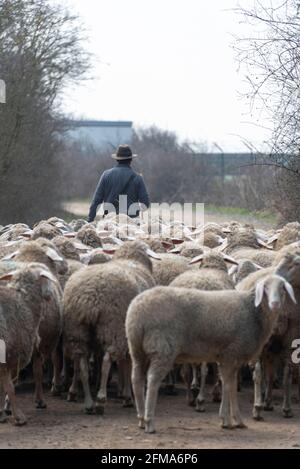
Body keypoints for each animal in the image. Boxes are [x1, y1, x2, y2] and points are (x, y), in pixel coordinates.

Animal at [0, 264, 57, 424]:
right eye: (44, 278)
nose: (50, 295)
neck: (24, 303)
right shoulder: (8, 356)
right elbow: (10, 387)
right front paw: (18, 417)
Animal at [62, 239, 158, 412]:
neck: (131, 259)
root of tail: (90, 297)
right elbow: (128, 364)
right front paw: (128, 395)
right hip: (113, 326)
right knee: (107, 361)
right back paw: (100, 399)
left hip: (78, 329)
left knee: (82, 364)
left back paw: (88, 402)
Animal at [126, 274, 296, 432]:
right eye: (265, 288)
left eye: (282, 288)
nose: (275, 304)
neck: (254, 313)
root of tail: (137, 310)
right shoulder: (231, 353)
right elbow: (227, 385)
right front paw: (226, 419)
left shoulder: (231, 358)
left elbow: (231, 386)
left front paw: (237, 420)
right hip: (162, 349)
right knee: (152, 380)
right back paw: (149, 422)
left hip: (137, 349)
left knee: (136, 379)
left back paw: (141, 419)